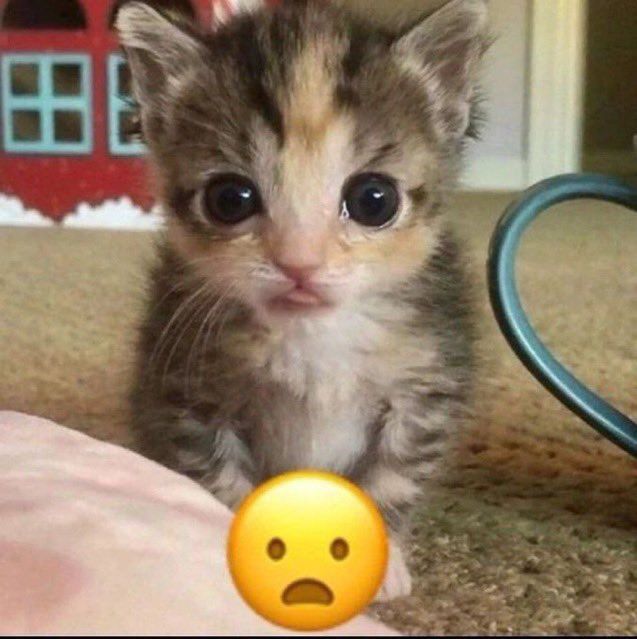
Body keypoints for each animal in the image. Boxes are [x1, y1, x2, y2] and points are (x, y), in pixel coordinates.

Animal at [118, 0, 486, 600]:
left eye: (374, 199)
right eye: (230, 198)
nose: (300, 263)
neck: (314, 338)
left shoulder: (425, 387)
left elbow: (394, 475)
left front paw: (380, 561)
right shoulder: (188, 393)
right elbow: (221, 480)